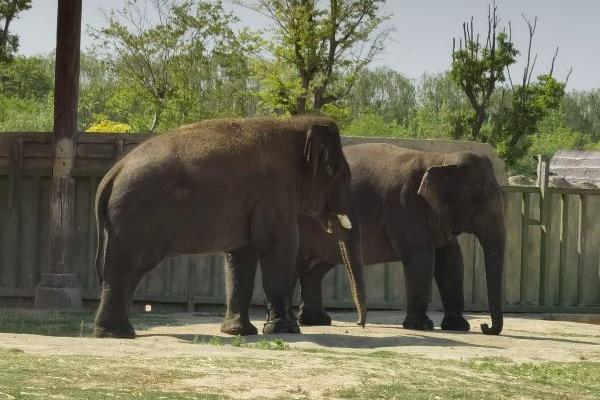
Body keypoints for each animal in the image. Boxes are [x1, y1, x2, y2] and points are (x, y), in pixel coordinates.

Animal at [94, 115, 366, 338]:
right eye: (341, 174)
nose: (360, 325)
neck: (293, 124)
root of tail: (113, 172)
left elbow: (241, 254)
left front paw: (239, 332)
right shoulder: (274, 194)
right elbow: (279, 249)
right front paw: (286, 330)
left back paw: (115, 332)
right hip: (135, 217)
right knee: (129, 267)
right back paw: (117, 334)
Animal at [292, 144, 504, 334]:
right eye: (477, 199)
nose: (485, 326)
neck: (439, 159)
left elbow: (451, 261)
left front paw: (458, 327)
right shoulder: (406, 208)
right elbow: (422, 259)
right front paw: (421, 326)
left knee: (316, 269)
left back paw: (316, 321)